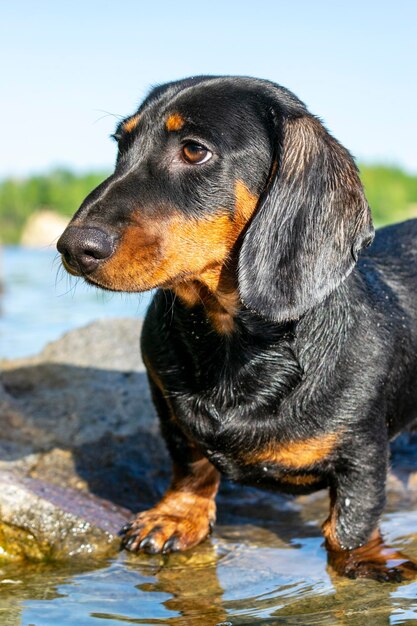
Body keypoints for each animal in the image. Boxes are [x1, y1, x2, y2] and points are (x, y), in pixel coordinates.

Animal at [57, 77, 416, 580]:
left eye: (194, 151)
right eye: (120, 144)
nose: (72, 248)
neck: (236, 343)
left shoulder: (363, 451)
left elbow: (351, 523)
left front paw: (363, 561)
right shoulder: (166, 401)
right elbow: (189, 461)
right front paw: (177, 516)